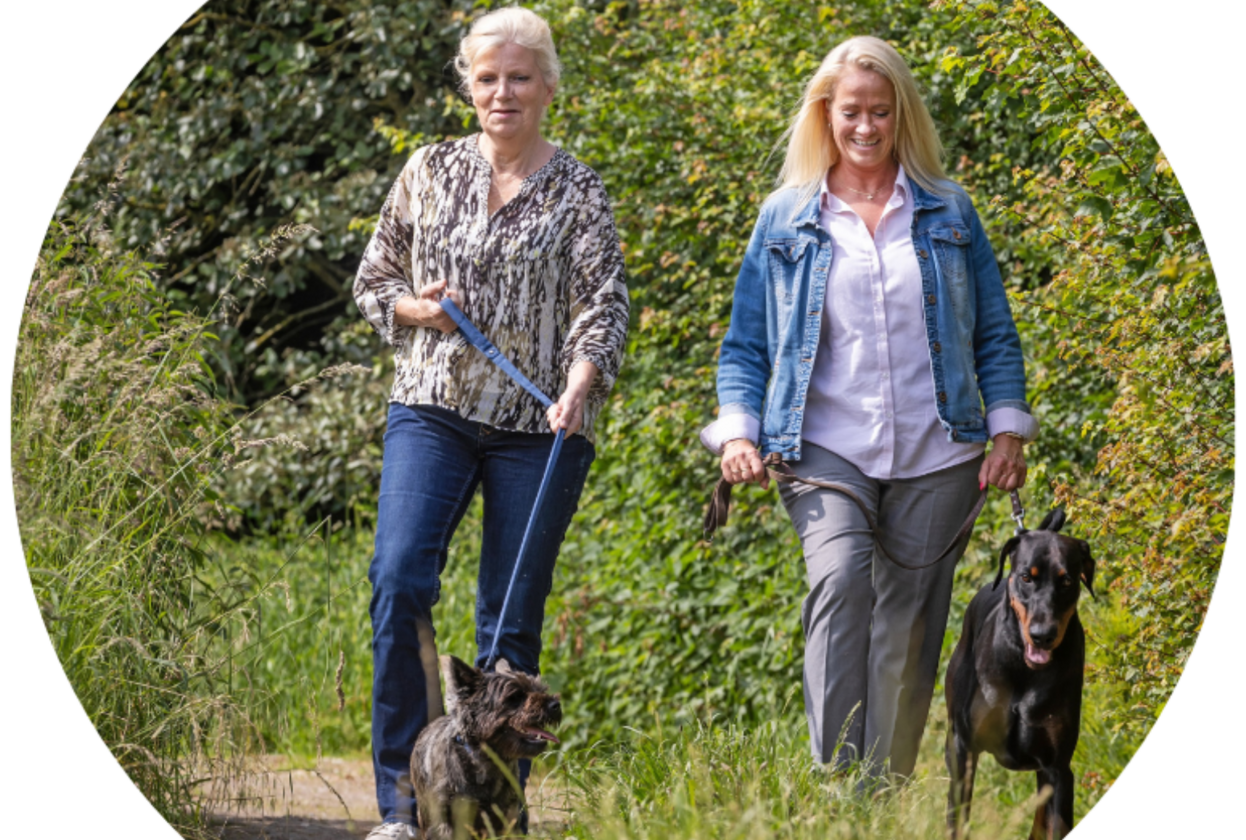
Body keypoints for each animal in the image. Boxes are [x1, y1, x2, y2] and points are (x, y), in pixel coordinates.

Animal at [411, 653, 563, 837]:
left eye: (541, 689)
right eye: (515, 696)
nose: (555, 705)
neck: (488, 761)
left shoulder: (506, 818)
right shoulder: (444, 821)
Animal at [946, 505, 1096, 832]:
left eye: (1067, 581)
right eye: (1027, 577)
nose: (1043, 635)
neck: (1024, 671)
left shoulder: (1057, 769)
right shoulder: (964, 750)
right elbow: (957, 821)